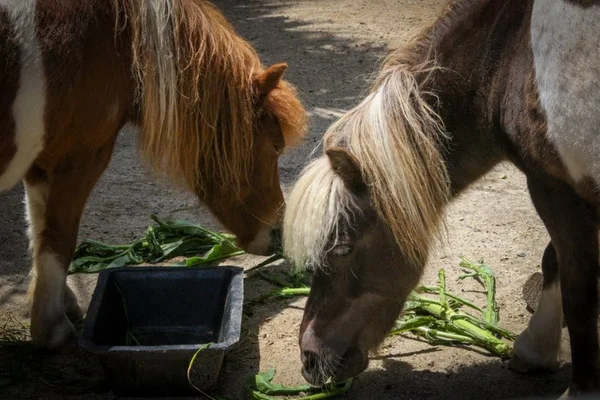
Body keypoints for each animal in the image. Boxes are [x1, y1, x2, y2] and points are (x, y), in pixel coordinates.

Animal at [0, 0, 308, 350]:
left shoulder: (40, 164)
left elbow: (38, 230)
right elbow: (58, 240)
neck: (115, 39)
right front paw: (53, 328)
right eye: (275, 146)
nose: (278, 233)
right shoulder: (79, 160)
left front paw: (61, 304)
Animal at [284, 0, 596, 396]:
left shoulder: (553, 188)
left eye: (341, 249)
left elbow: (577, 291)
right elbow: (555, 261)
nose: (309, 359)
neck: (507, 53)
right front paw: (535, 350)